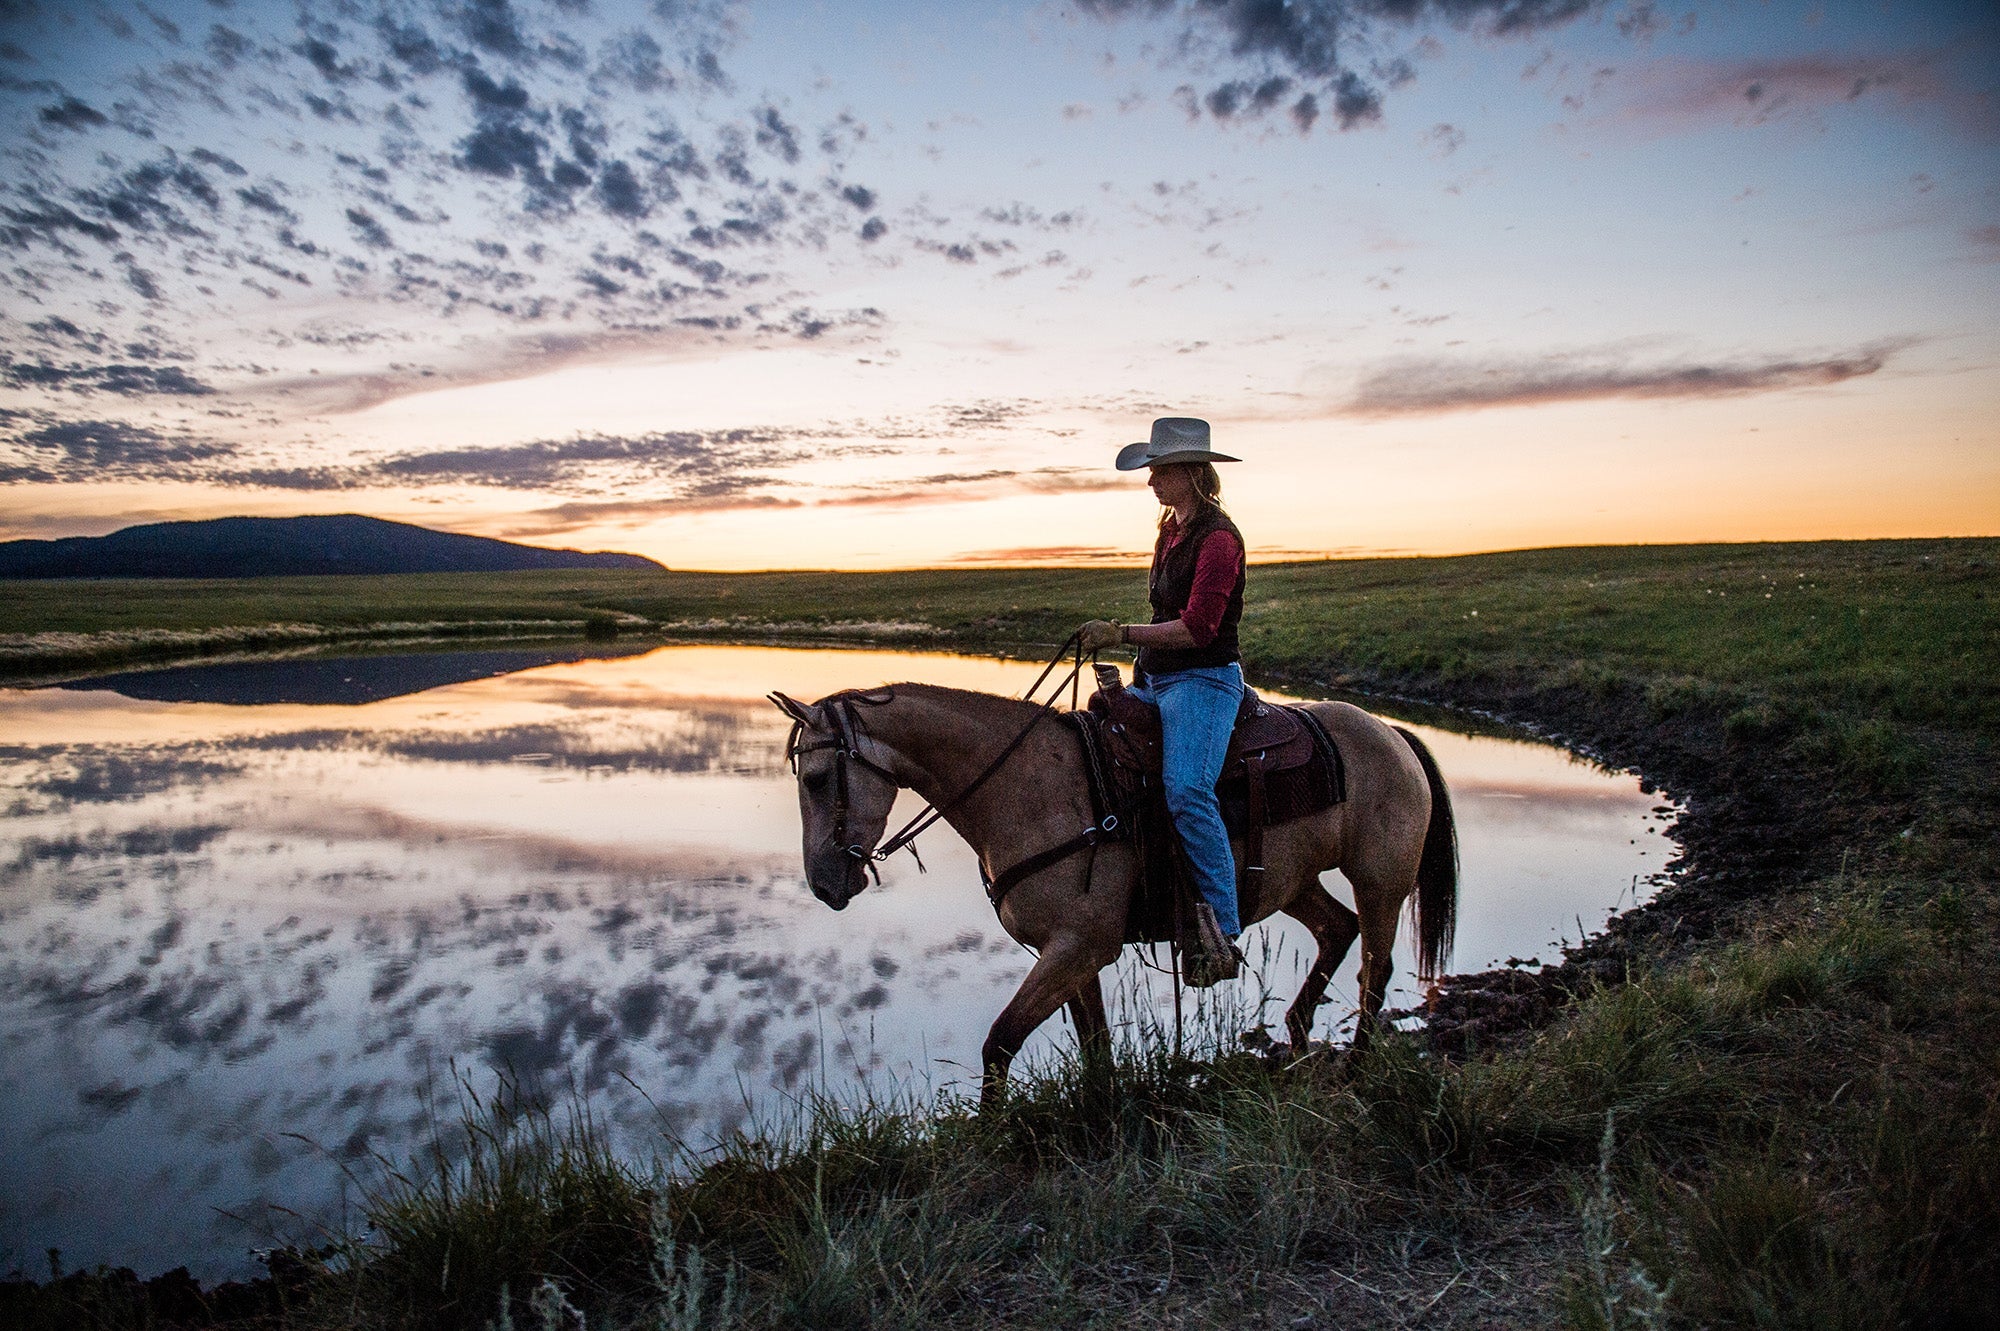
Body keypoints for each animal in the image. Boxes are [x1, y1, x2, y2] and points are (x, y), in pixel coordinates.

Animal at [764, 675, 1456, 1095]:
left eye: (818, 779)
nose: (824, 884)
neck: (1026, 786)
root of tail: (1391, 732)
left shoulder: (1079, 945)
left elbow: (999, 1043)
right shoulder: (1071, 953)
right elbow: (1094, 1047)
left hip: (1381, 879)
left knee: (1375, 965)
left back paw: (1357, 1065)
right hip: (1289, 882)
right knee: (1338, 931)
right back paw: (1298, 1037)